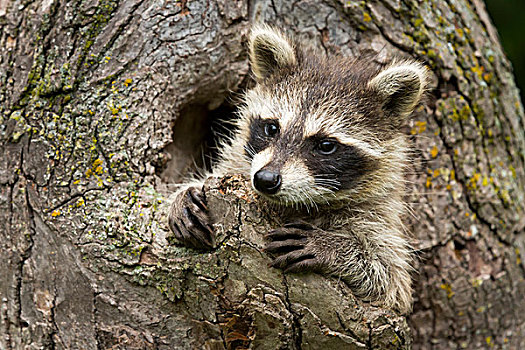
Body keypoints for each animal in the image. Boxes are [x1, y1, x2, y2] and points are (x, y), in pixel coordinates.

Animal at [169, 25, 430, 314]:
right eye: (272, 128)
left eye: (326, 145)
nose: (266, 179)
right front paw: (185, 193)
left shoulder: (377, 214)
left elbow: (391, 280)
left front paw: (334, 247)